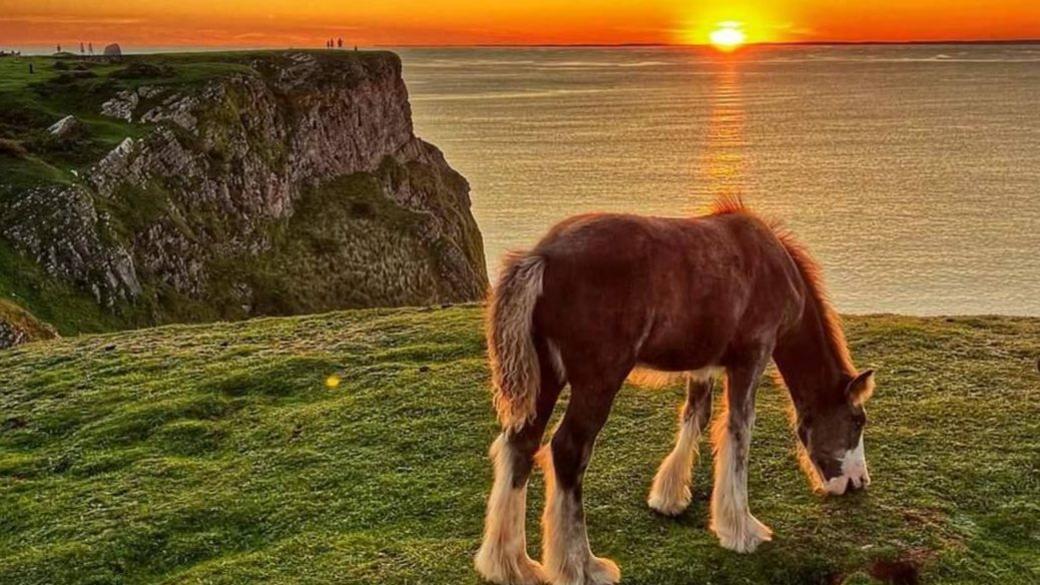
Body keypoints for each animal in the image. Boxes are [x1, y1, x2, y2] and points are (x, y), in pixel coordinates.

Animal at [474, 200, 876, 585]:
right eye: (857, 421)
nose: (857, 481)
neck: (774, 265)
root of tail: (541, 256)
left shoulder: (704, 365)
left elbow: (695, 417)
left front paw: (669, 497)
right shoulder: (752, 358)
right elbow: (738, 434)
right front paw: (741, 530)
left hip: (547, 376)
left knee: (521, 445)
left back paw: (511, 564)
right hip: (598, 380)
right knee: (568, 451)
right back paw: (581, 567)